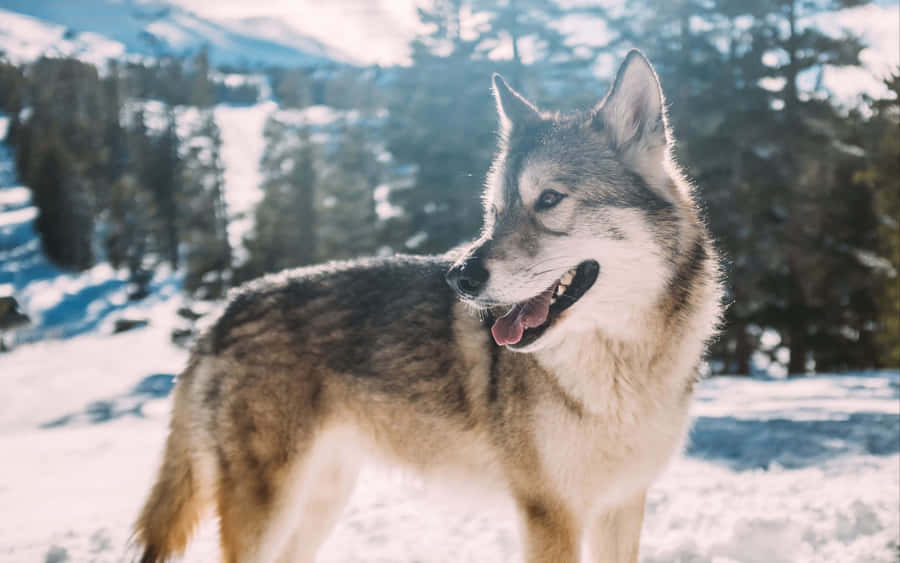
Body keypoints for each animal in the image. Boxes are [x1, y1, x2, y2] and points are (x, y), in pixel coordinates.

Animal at [134, 50, 724, 560]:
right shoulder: (548, 512)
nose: (460, 276)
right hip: (271, 509)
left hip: (319, 503)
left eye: (550, 199)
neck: (622, 368)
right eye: (495, 212)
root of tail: (225, 310)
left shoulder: (622, 505)